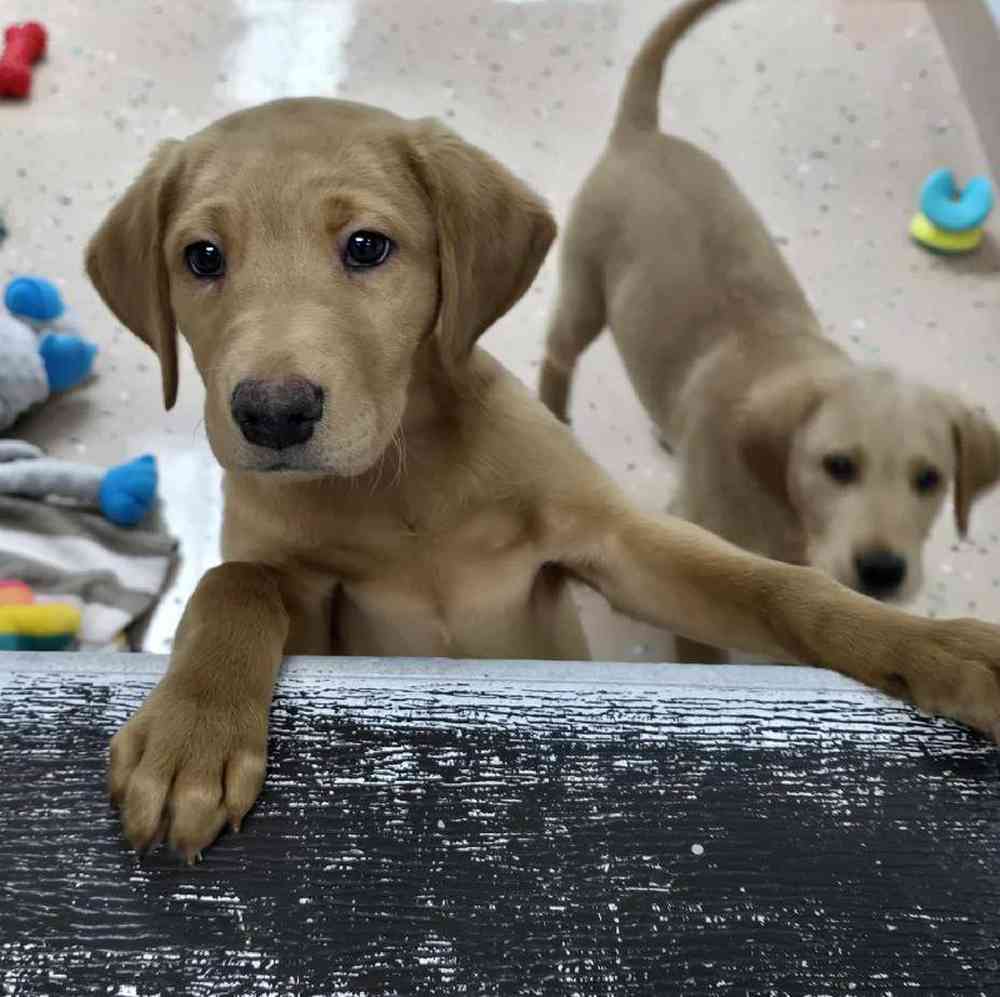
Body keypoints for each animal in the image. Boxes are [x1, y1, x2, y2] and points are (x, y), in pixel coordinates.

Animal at [88, 93, 1000, 860]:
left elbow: (783, 586)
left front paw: (937, 646)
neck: (402, 481)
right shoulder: (312, 602)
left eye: (367, 247)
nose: (273, 415)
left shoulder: (616, 545)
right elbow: (237, 581)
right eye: (202, 258)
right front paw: (192, 734)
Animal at [544, 0, 1000, 660]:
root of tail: (643, 134)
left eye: (929, 479)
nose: (883, 571)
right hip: (584, 293)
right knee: (558, 356)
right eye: (838, 466)